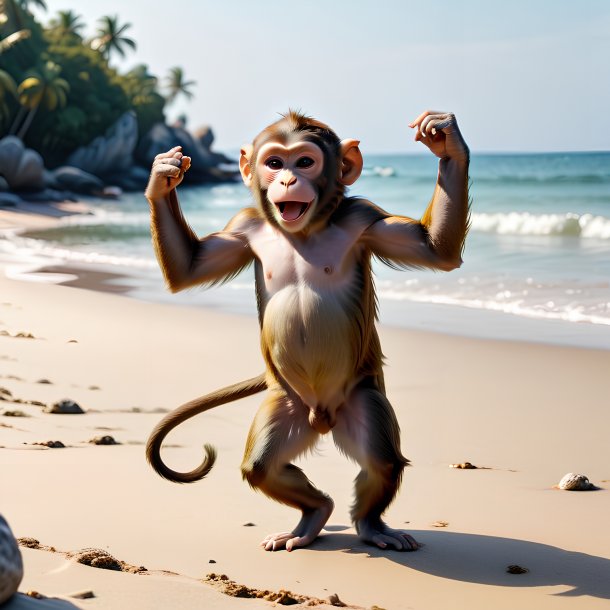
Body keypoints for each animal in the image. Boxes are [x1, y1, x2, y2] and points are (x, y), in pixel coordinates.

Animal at [145, 109, 468, 552]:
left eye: (304, 162)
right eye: (274, 162)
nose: (286, 181)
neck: (304, 230)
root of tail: (323, 417)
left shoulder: (363, 217)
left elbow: (435, 250)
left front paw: (446, 142)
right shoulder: (244, 226)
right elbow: (187, 269)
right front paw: (163, 175)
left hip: (358, 397)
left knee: (382, 462)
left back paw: (369, 524)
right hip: (288, 402)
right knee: (262, 465)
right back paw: (313, 514)